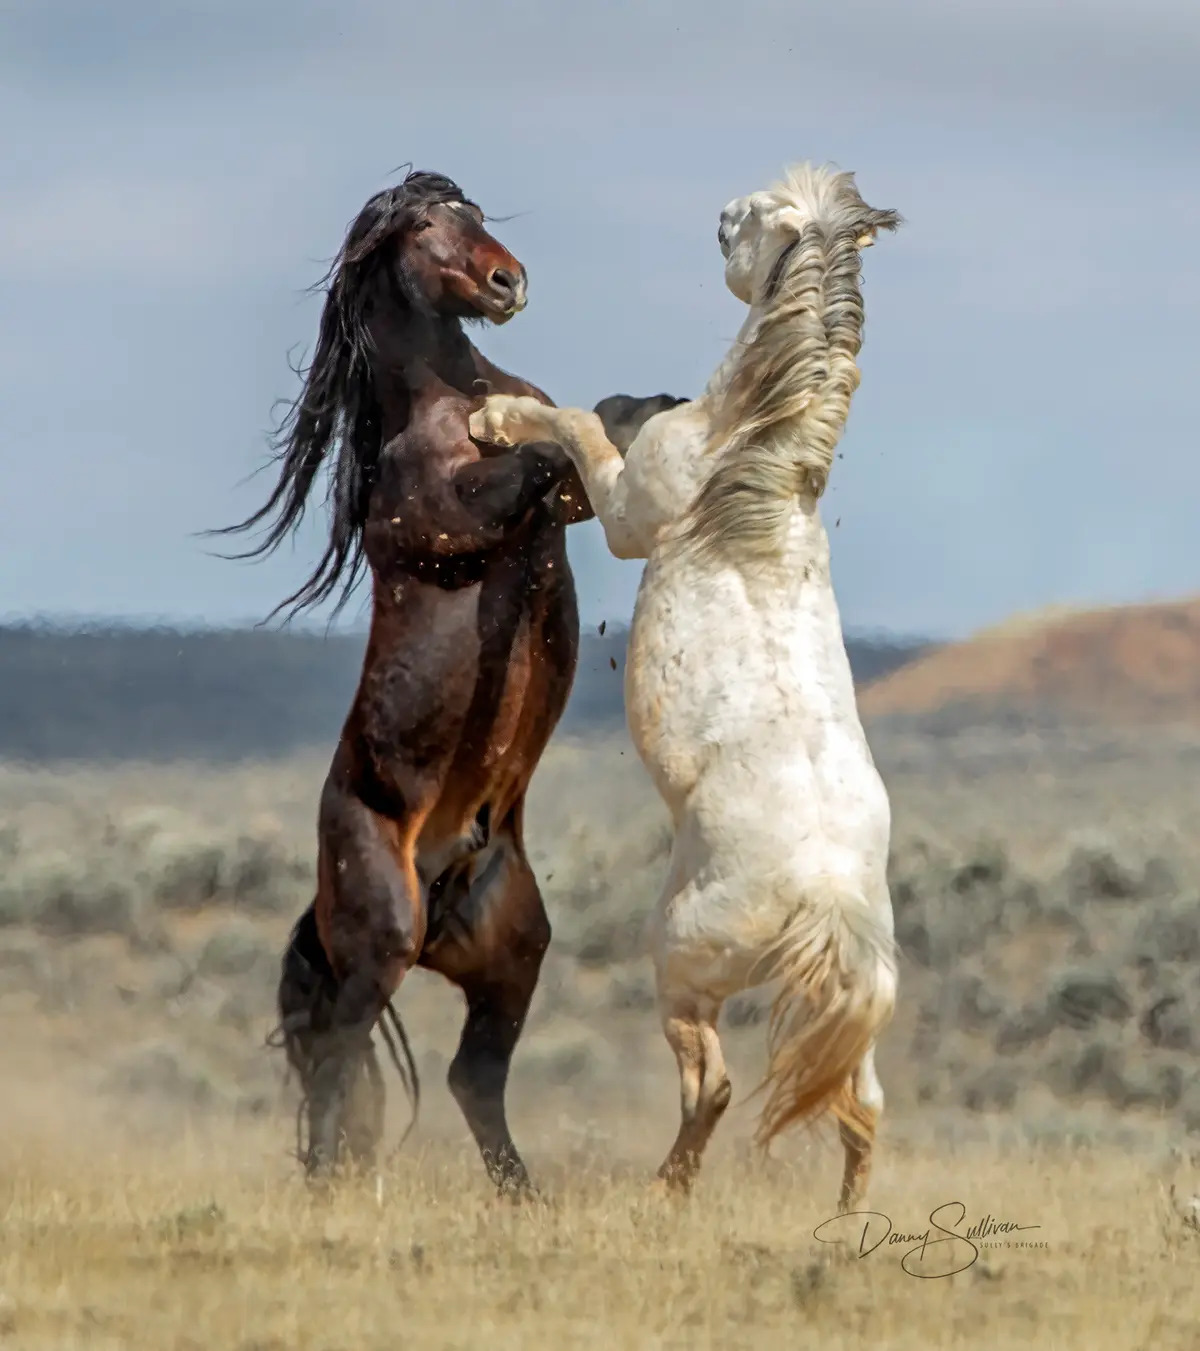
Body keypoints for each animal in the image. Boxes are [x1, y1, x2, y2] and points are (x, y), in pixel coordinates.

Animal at [216, 168, 678, 1194]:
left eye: (475, 214)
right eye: (427, 225)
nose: (510, 282)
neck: (448, 392)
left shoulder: (566, 504)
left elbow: (592, 428)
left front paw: (661, 400)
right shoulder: (456, 516)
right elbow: (539, 453)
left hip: (513, 950)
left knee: (472, 1076)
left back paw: (526, 1197)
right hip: (382, 935)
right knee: (339, 1055)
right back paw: (329, 1189)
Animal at [472, 163, 902, 1210]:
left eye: (758, 218)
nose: (717, 216)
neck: (746, 463)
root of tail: (826, 901)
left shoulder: (632, 511)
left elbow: (580, 427)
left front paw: (496, 419)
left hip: (680, 963)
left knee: (714, 1085)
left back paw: (665, 1190)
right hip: (846, 1014)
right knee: (859, 1110)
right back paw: (844, 1223)